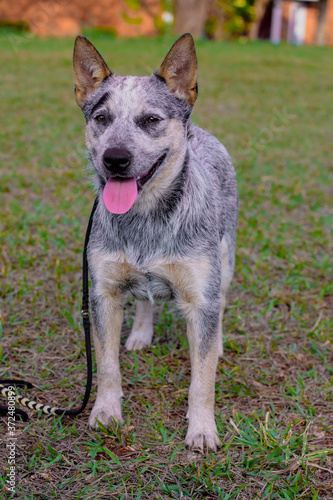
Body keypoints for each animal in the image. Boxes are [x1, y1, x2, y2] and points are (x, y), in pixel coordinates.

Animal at [73, 33, 239, 452]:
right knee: (145, 299)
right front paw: (105, 413)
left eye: (150, 120)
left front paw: (202, 429)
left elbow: (202, 379)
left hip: (225, 260)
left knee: (221, 302)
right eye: (101, 118)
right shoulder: (103, 293)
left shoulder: (200, 295)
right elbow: (107, 365)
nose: (115, 158)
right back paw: (139, 334)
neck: (145, 220)